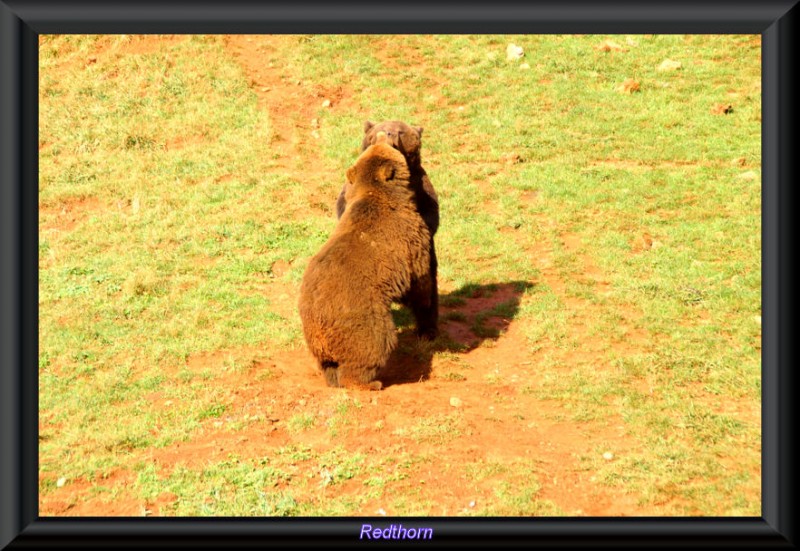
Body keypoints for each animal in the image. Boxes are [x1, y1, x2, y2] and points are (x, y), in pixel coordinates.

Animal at [298, 137, 434, 392]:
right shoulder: (410, 239)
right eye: (388, 147)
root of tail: (318, 328)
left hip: (317, 342)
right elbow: (420, 278)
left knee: (329, 366)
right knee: (375, 344)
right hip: (363, 316)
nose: (383, 135)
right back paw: (371, 382)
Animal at [334, 120, 440, 338]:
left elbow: (430, 212)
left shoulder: (420, 185)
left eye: (400, 131)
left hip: (424, 267)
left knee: (427, 296)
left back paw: (427, 330)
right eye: (378, 130)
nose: (388, 133)